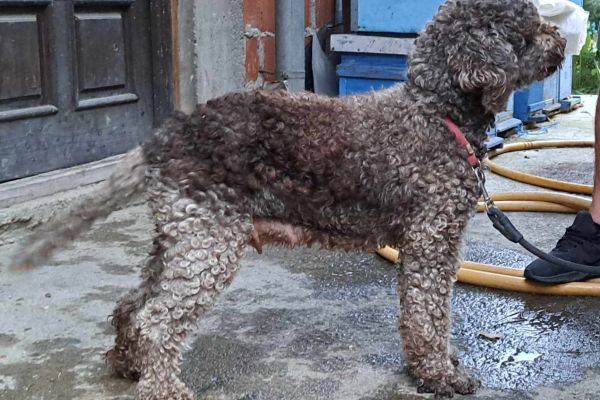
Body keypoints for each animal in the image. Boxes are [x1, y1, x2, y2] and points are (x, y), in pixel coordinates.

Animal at [12, 0, 568, 396]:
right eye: (528, 30)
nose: (562, 39)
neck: (435, 110)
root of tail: (169, 134)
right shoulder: (431, 240)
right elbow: (429, 315)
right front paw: (440, 375)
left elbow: (428, 313)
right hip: (208, 242)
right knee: (156, 319)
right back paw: (164, 387)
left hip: (181, 236)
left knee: (133, 305)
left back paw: (129, 366)